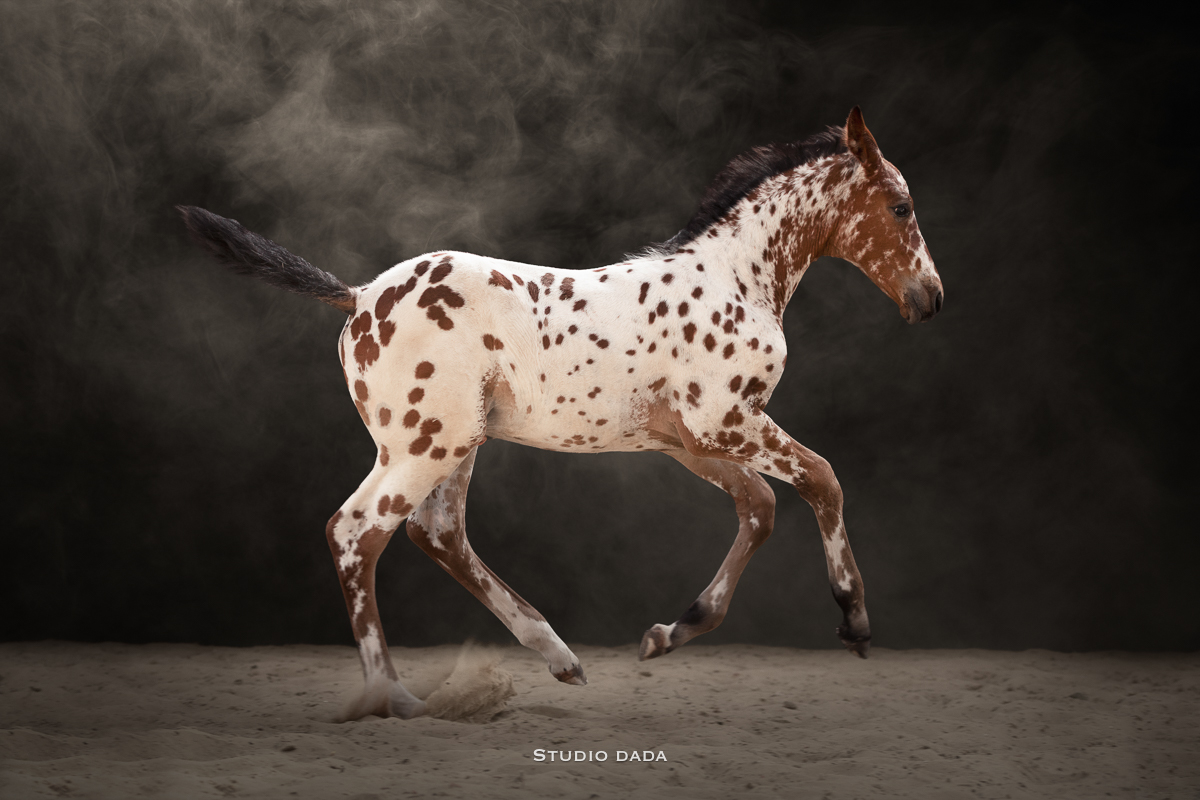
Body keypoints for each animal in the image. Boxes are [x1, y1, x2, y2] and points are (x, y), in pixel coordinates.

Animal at [179, 107, 942, 720]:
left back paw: (557, 655)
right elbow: (822, 479)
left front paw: (671, 632)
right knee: (356, 531)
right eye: (902, 206)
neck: (734, 277)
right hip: (424, 444)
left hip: (455, 443)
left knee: (439, 534)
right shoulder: (723, 422)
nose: (930, 297)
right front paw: (854, 617)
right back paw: (391, 695)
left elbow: (758, 507)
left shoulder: (687, 440)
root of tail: (360, 295)